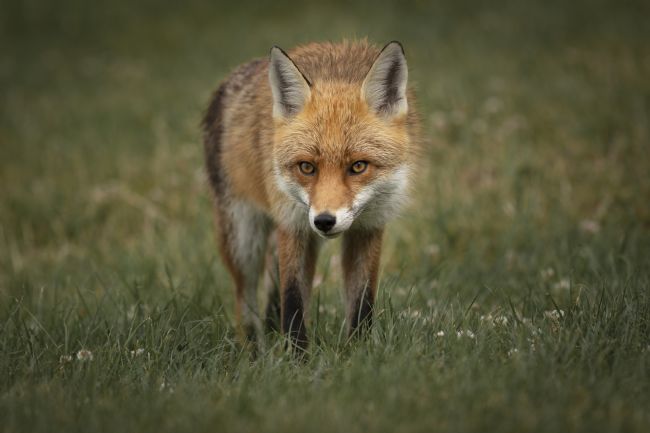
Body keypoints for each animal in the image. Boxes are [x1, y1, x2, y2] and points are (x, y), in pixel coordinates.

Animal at [202, 40, 420, 350]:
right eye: (307, 167)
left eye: (358, 166)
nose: (325, 221)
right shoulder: (292, 224)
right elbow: (293, 300)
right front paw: (297, 358)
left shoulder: (369, 227)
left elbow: (362, 302)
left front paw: (358, 351)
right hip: (244, 240)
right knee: (246, 301)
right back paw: (254, 352)